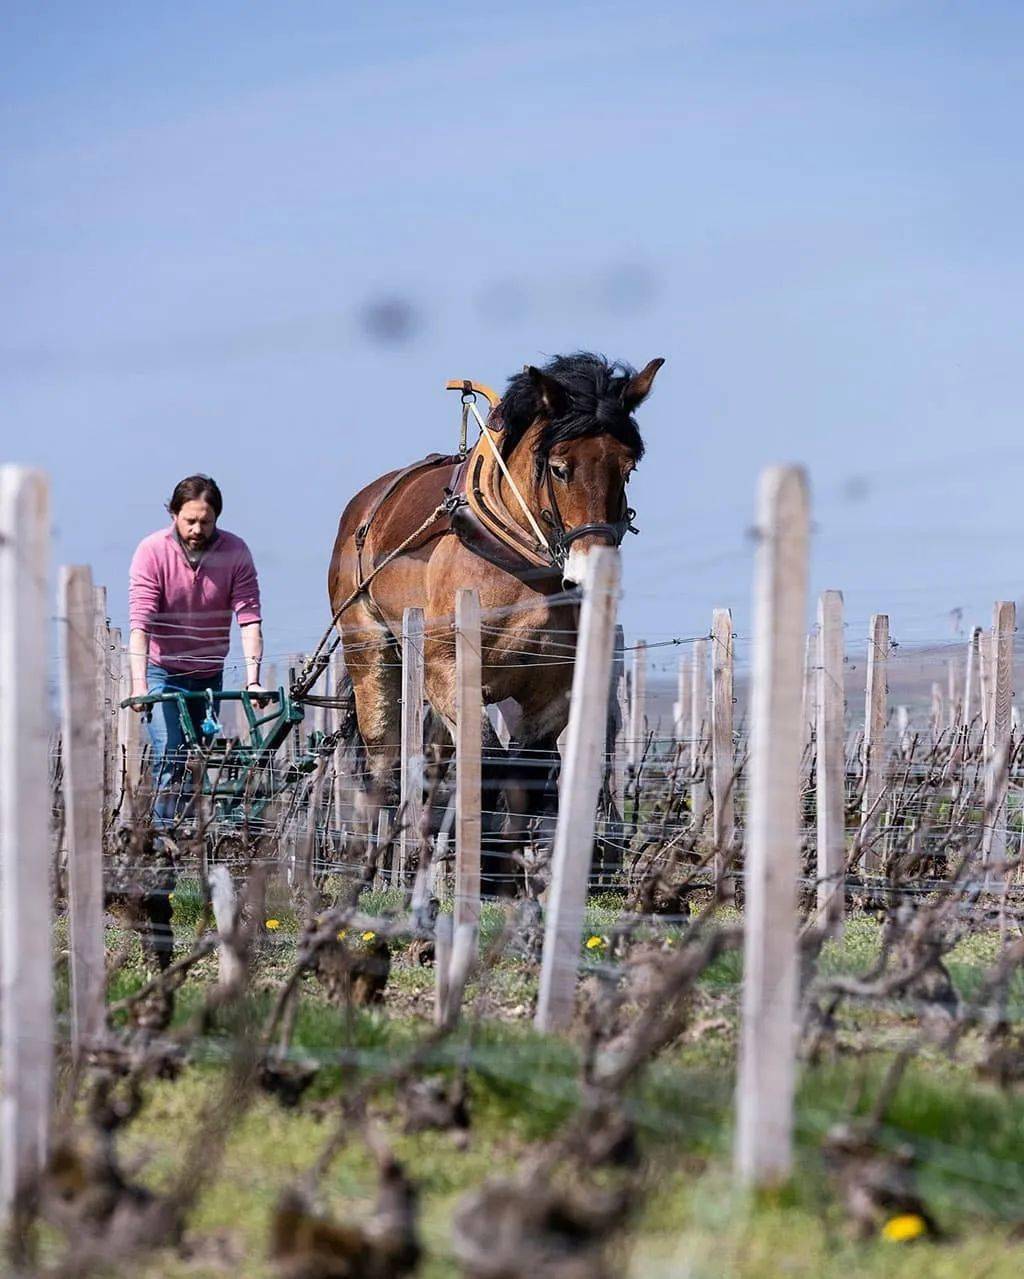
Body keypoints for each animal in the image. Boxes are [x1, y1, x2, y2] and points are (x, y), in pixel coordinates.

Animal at [327, 350, 664, 890]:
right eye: (559, 468)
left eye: (627, 468)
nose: (595, 574)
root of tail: (365, 504)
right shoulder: (447, 669)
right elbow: (483, 760)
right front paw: (474, 874)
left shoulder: (555, 688)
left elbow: (525, 772)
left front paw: (509, 874)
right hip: (370, 649)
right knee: (384, 762)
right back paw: (374, 868)